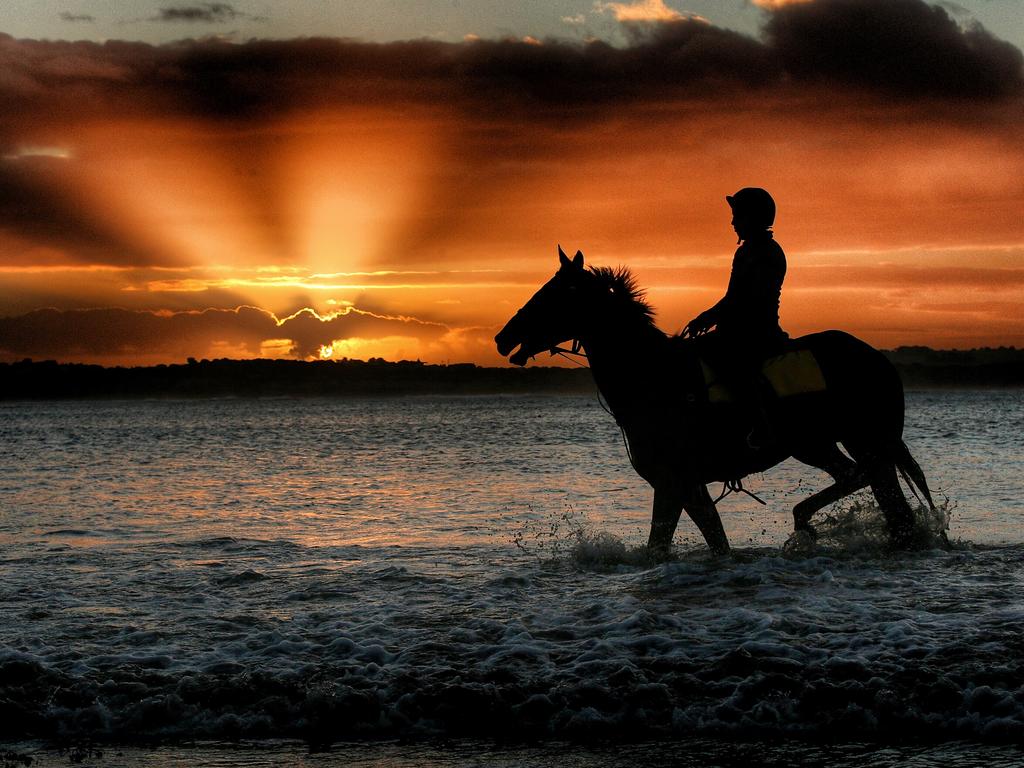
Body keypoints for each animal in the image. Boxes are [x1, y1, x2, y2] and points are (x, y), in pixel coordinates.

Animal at [495, 249, 937, 557]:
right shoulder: (685, 486)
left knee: (872, 487)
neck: (653, 378)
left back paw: (806, 523)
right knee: (871, 488)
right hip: (825, 443)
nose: (503, 337)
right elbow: (710, 540)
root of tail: (876, 358)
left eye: (553, 294)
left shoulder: (674, 483)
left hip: (850, 441)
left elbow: (668, 547)